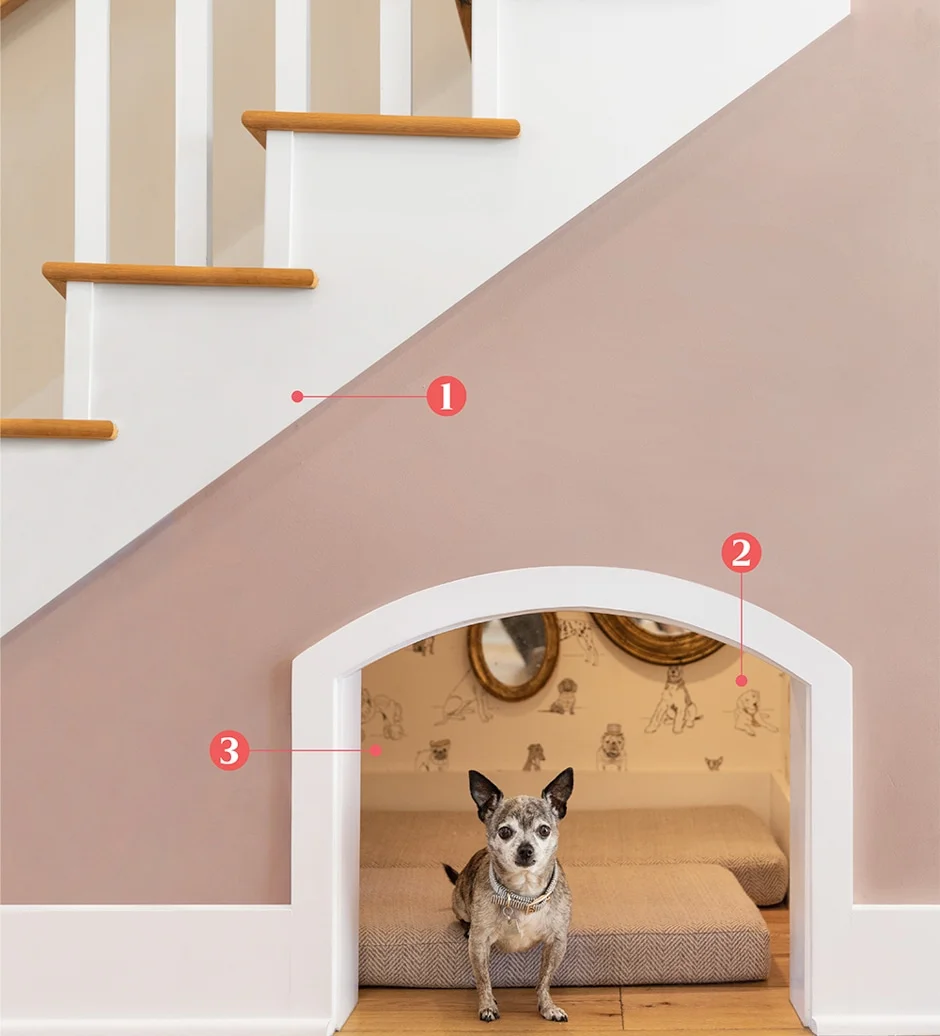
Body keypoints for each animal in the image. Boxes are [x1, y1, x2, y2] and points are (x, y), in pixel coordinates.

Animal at [445, 766, 576, 1023]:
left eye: (544, 830)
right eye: (505, 832)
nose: (526, 849)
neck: (523, 894)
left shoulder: (557, 942)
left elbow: (544, 981)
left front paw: (548, 1006)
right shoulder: (479, 944)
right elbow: (483, 980)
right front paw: (487, 1006)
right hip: (459, 901)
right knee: (462, 917)